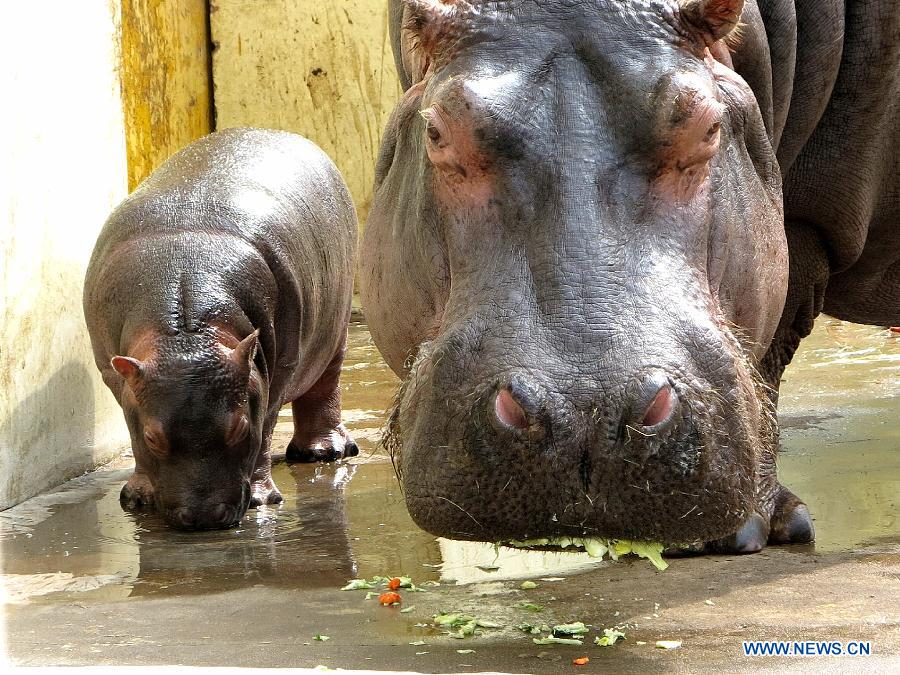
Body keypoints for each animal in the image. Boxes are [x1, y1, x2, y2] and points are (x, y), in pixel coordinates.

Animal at [83, 127, 358, 528]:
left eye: (239, 428)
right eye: (153, 437)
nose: (203, 517)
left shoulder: (275, 372)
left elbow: (265, 430)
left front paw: (262, 499)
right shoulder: (115, 374)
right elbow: (132, 432)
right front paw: (137, 498)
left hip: (335, 327)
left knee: (326, 384)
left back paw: (324, 452)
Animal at [360, 1, 900, 556]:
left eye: (708, 126)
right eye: (436, 130)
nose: (582, 415)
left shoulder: (807, 227)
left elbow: (768, 360)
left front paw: (743, 530)